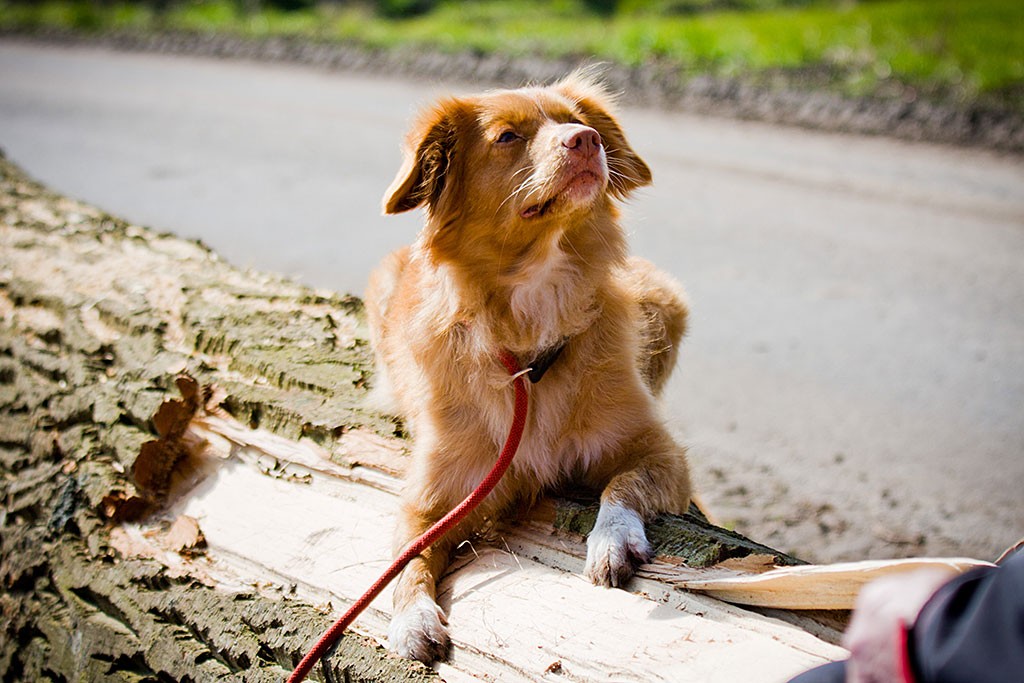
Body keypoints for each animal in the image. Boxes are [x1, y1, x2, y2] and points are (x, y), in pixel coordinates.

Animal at [364, 73, 692, 663]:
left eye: (573, 121)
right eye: (507, 137)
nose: (588, 139)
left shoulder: (658, 452)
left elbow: (622, 485)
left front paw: (612, 539)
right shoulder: (433, 497)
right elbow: (406, 559)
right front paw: (410, 618)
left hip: (663, 302)